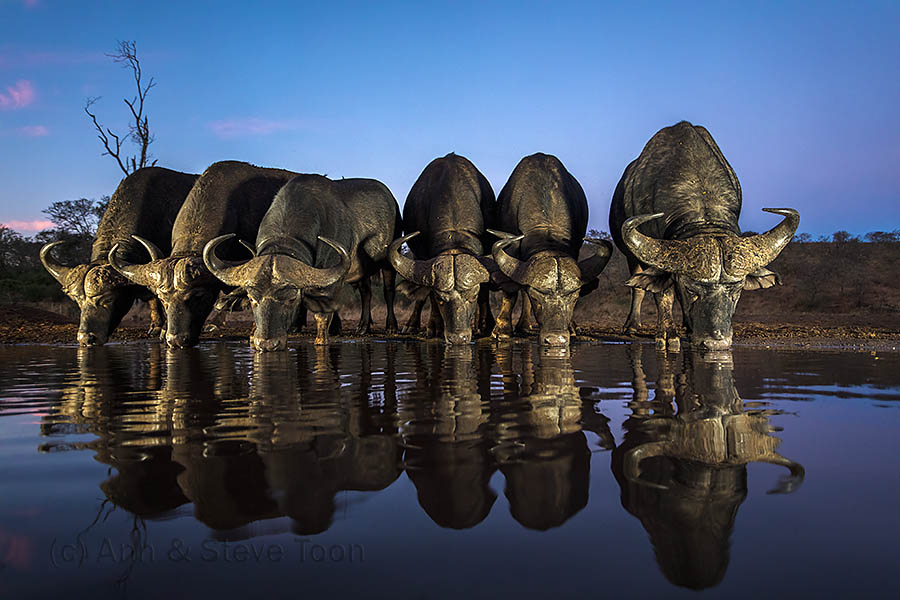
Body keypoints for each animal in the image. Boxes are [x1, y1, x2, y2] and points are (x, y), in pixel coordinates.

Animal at [40, 167, 197, 345]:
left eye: (108, 299)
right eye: (78, 300)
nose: (86, 338)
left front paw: (164, 330)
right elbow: (152, 298)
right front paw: (156, 326)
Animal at [610, 121, 800, 350]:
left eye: (737, 289)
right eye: (690, 289)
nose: (716, 342)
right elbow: (664, 294)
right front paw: (667, 333)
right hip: (630, 257)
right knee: (637, 288)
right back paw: (632, 325)